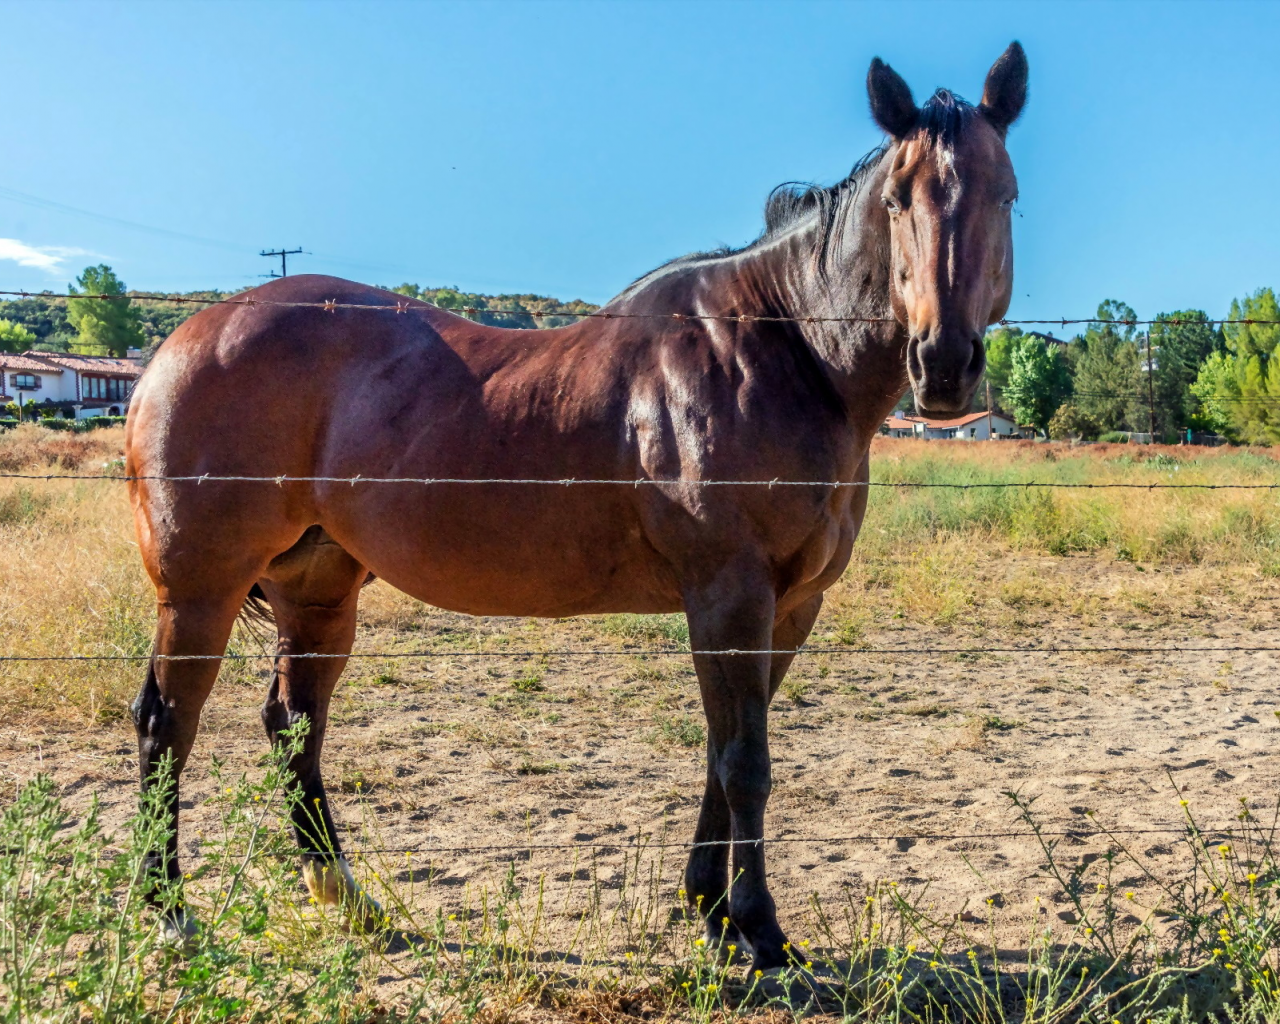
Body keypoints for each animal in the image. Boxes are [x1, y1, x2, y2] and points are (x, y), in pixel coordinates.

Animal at [127, 44, 1029, 972]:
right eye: (896, 200)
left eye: (1005, 194)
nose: (944, 364)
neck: (783, 353)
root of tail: (183, 343)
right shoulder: (729, 596)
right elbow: (746, 761)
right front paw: (761, 929)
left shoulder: (790, 607)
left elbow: (722, 754)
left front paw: (710, 908)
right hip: (201, 590)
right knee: (167, 723)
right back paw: (169, 912)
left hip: (318, 590)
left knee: (293, 725)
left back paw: (347, 899)